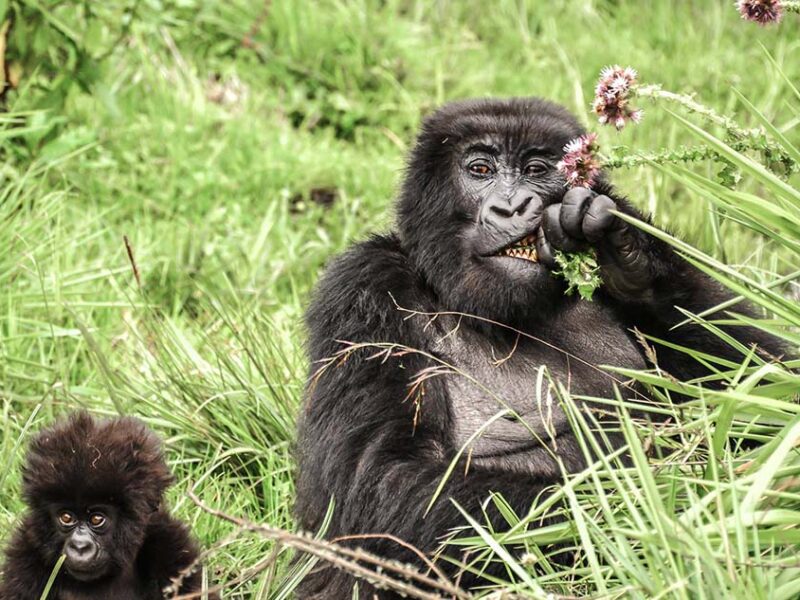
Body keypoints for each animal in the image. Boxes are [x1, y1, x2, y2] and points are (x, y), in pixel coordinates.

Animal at [294, 97, 780, 596]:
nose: (513, 206)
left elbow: (763, 379)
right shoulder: (363, 288)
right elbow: (383, 482)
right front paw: (668, 501)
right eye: (480, 169)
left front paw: (628, 255)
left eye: (536, 169)